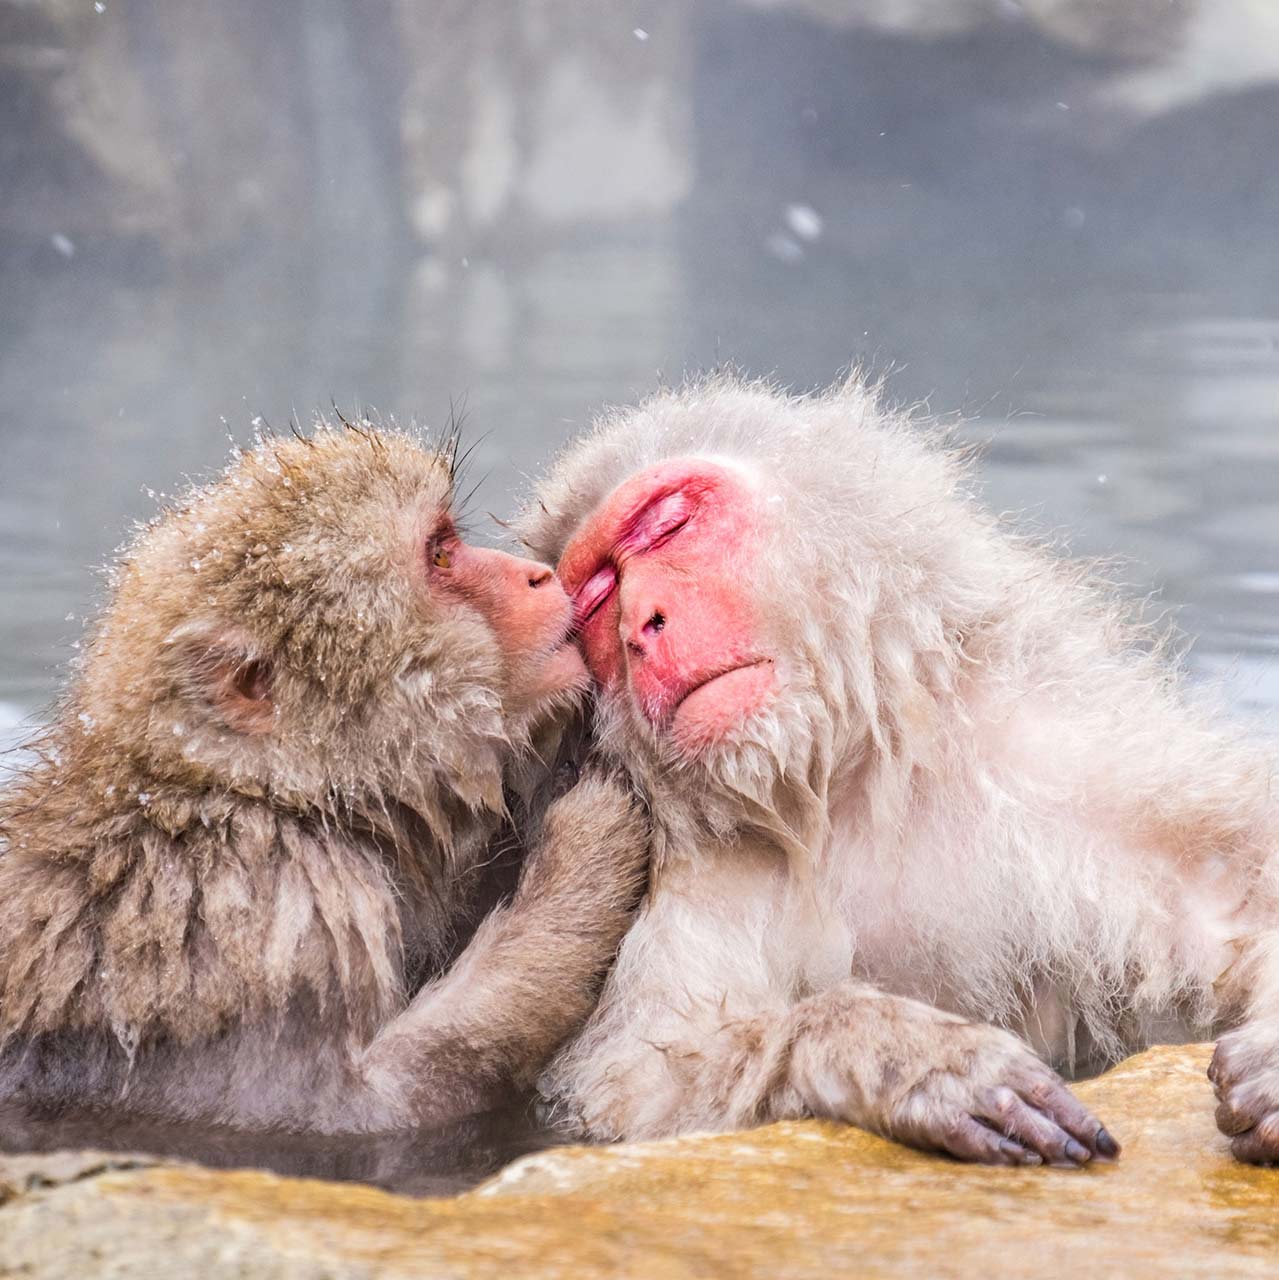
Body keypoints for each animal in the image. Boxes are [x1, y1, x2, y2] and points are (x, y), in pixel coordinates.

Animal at [0, 419, 645, 1131]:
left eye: (448, 541)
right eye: (440, 558)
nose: (536, 577)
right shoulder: (260, 920)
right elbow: (345, 1109)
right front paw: (584, 856)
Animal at [517, 373, 1279, 1172]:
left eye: (668, 525)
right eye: (598, 596)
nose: (643, 628)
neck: (839, 780)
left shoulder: (1083, 762)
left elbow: (1243, 896)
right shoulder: (685, 870)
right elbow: (634, 1086)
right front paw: (901, 1053)